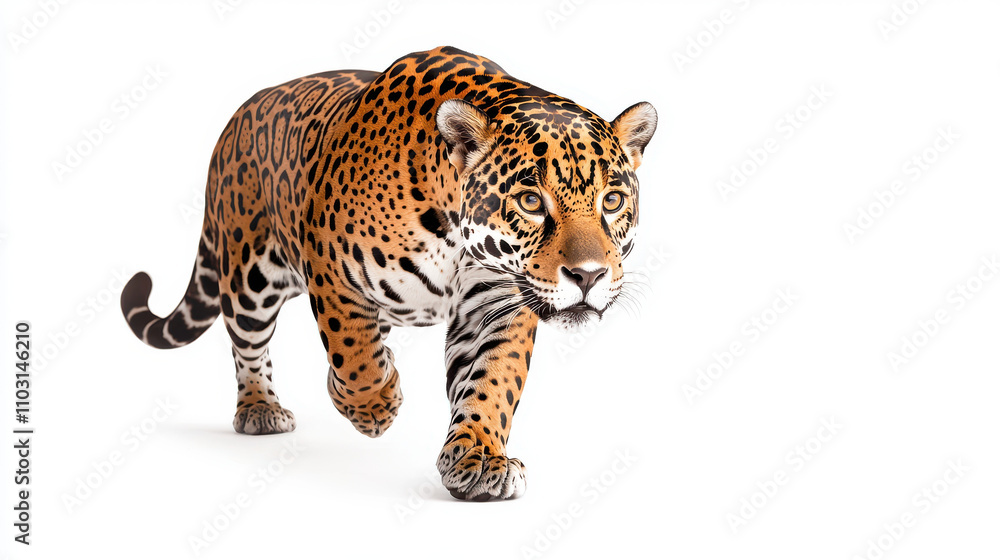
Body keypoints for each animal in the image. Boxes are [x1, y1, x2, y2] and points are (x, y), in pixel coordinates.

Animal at [120, 46, 656, 501]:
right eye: (529, 201)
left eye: (612, 201)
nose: (588, 276)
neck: (453, 228)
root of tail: (238, 116)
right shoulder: (333, 274)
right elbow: (353, 355)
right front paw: (373, 406)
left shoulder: (497, 303)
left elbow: (492, 381)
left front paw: (481, 459)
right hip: (249, 275)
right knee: (249, 346)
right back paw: (260, 409)